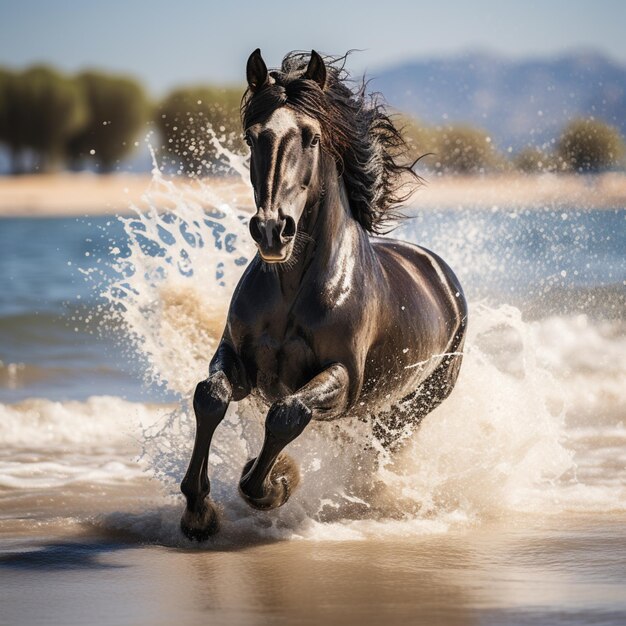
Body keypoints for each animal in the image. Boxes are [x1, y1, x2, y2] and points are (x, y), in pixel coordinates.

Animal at [178, 50, 466, 536]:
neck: (293, 289)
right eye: (251, 137)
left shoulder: (343, 378)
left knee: (377, 452)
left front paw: (274, 484)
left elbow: (286, 415)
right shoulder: (238, 358)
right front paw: (198, 510)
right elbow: (210, 397)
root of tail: (441, 273)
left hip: (406, 410)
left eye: (311, 137)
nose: (272, 229)